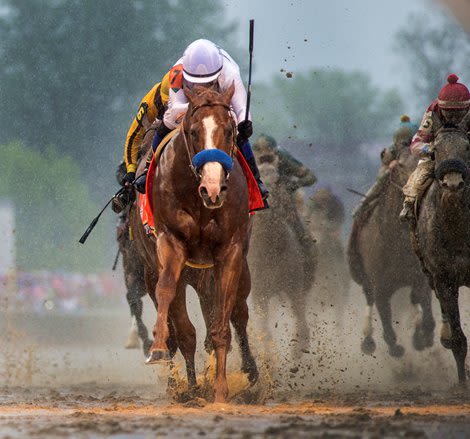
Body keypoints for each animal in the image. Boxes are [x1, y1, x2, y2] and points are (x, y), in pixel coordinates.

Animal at [130, 84, 258, 404]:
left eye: (230, 130)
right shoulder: (169, 246)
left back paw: (251, 372)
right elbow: (173, 307)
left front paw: (221, 391)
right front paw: (162, 352)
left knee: (239, 314)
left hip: (237, 270)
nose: (213, 189)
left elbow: (221, 325)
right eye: (192, 131)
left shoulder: (229, 252)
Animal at [346, 146, 436, 360]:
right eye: (400, 165)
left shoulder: (418, 277)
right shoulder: (379, 285)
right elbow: (385, 316)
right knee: (369, 299)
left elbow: (422, 300)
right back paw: (368, 340)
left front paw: (424, 335)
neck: (394, 241)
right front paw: (394, 345)